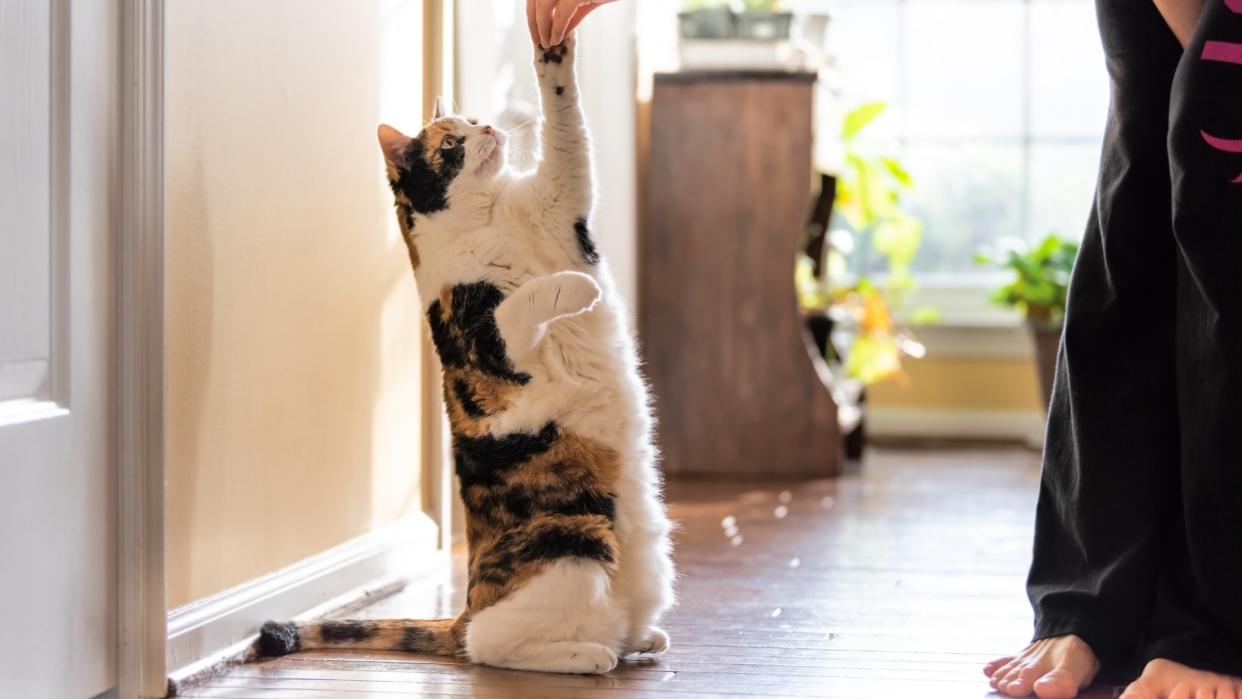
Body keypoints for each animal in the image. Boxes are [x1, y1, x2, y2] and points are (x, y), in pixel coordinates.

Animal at [255, 34, 675, 680]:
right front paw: (575, 289)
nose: (489, 129)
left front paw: (554, 52)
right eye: (450, 144)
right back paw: (588, 655)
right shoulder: (484, 344)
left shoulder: (561, 196)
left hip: (640, 562)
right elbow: (523, 303)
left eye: (474, 119)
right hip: (573, 540)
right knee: (491, 644)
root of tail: (467, 604)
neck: (492, 216)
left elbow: (566, 126)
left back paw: (642, 640)